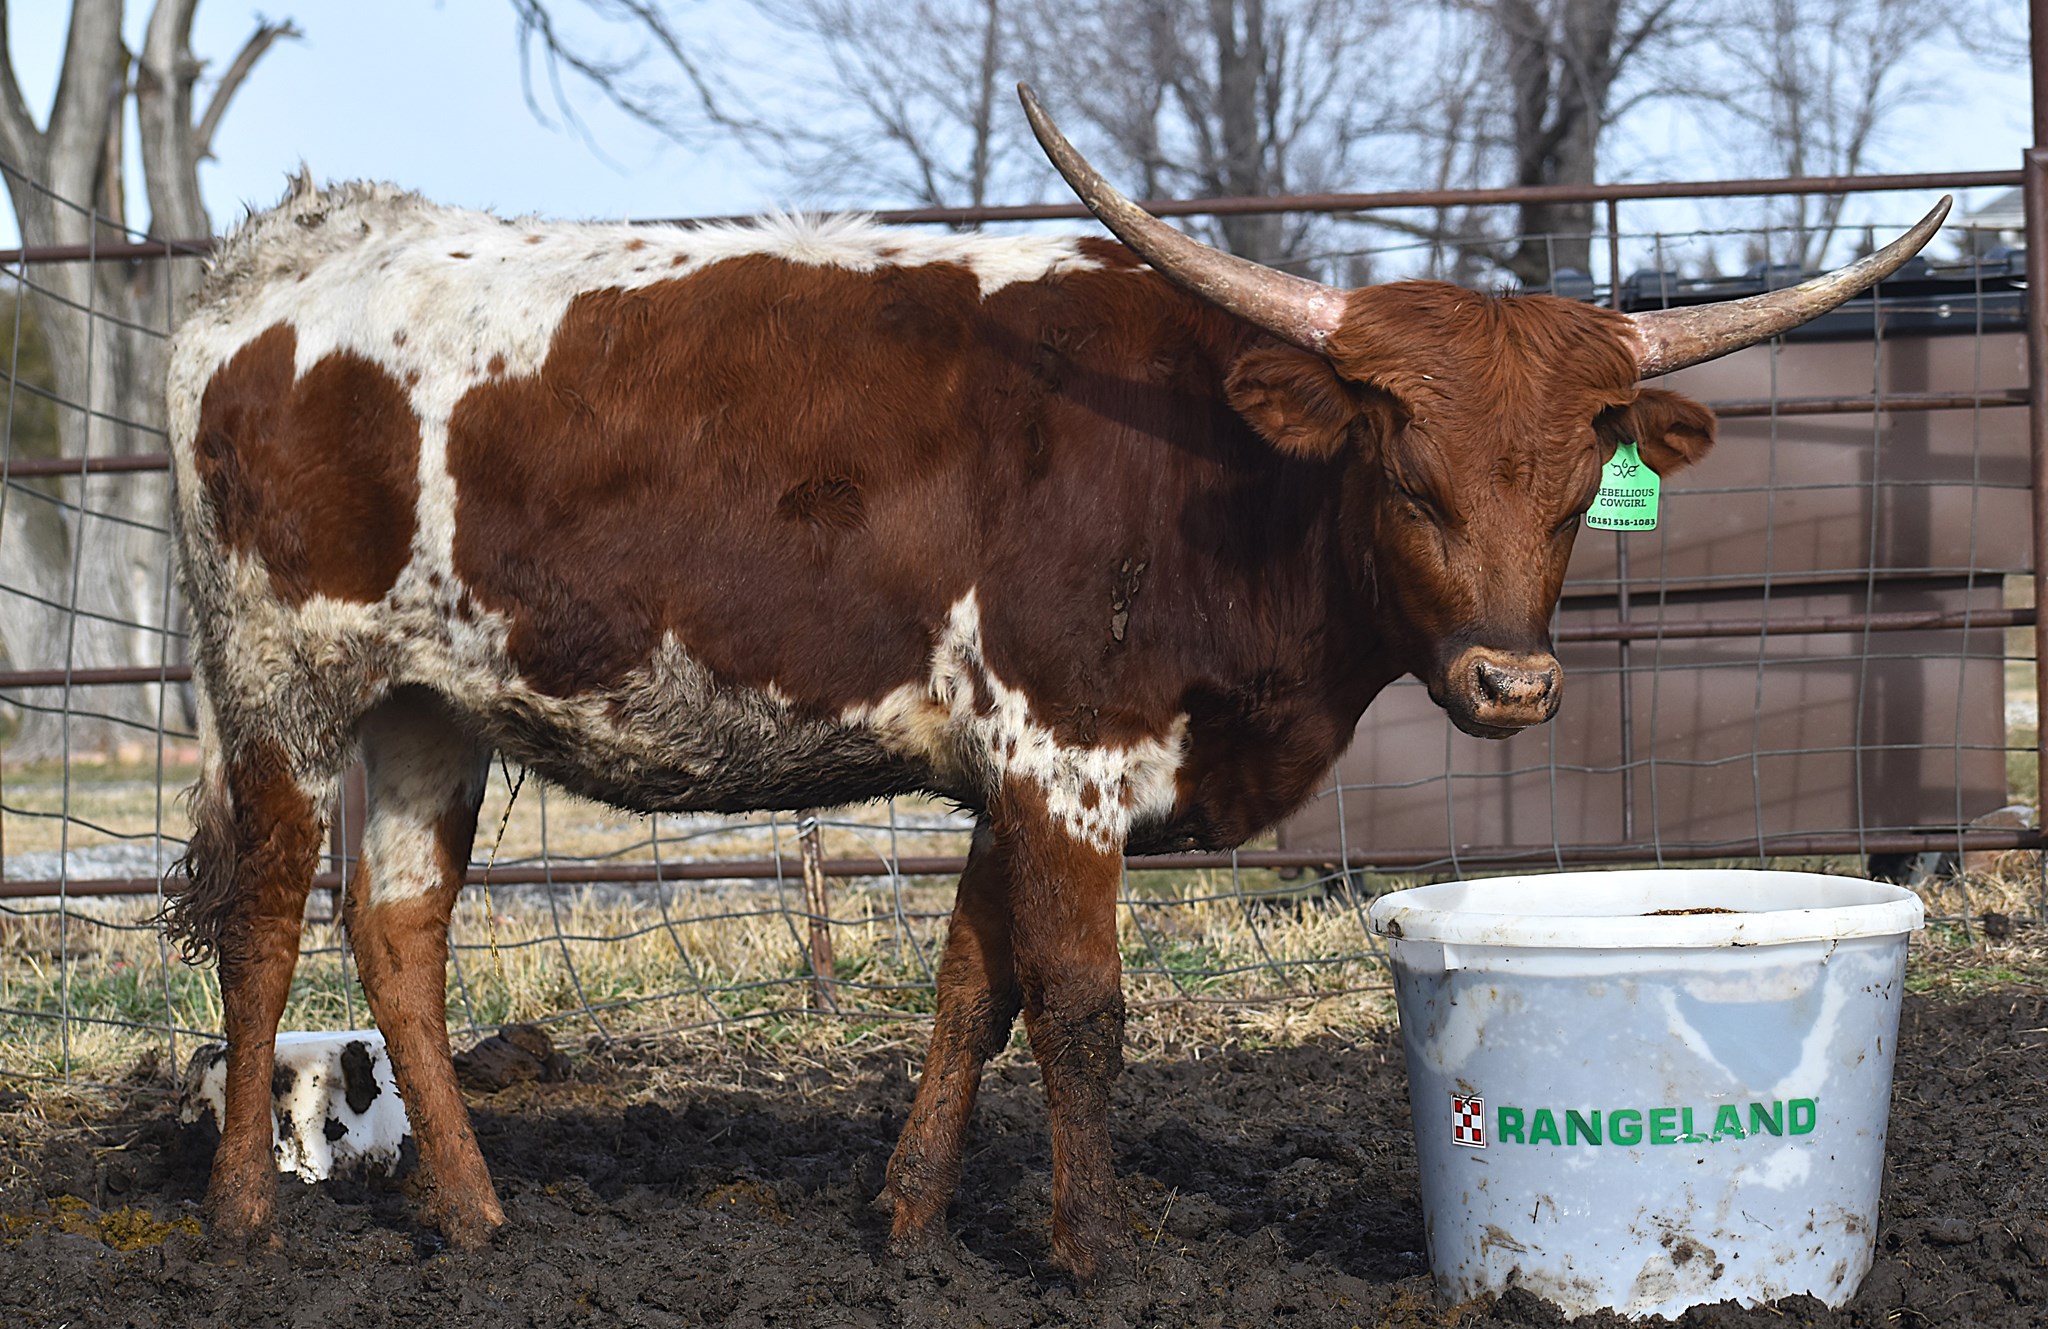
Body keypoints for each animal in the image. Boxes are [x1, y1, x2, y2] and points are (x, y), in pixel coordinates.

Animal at [161, 85, 1946, 1281]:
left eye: (1579, 491)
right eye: (1407, 473)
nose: (1511, 686)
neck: (1216, 475)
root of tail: (302, 247)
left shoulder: (1005, 777)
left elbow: (978, 985)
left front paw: (907, 1217)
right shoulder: (1067, 755)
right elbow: (1081, 1006)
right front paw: (1098, 1253)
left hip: (429, 707)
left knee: (398, 932)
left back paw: (473, 1215)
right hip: (282, 680)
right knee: (264, 923)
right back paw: (243, 1211)